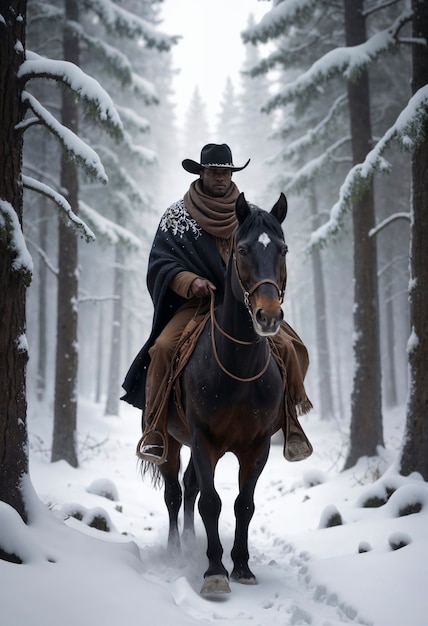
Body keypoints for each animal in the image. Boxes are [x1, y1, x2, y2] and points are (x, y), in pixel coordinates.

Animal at [143, 193, 288, 592]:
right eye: (243, 250)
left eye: (283, 249)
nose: (268, 315)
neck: (239, 372)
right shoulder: (203, 438)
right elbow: (210, 502)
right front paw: (214, 571)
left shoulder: (257, 446)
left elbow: (243, 504)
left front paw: (241, 566)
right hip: (172, 441)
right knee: (175, 494)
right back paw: (177, 550)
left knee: (189, 488)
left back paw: (192, 542)